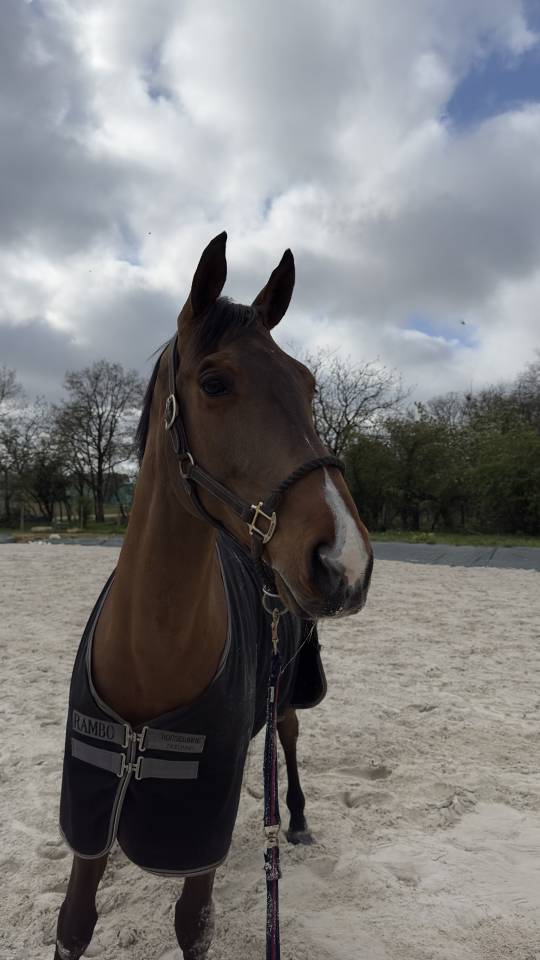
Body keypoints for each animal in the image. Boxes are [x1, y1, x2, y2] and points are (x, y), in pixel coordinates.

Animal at [53, 232, 373, 960]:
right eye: (216, 382)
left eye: (309, 386)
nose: (344, 559)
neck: (148, 654)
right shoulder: (89, 814)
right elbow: (74, 923)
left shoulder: (199, 830)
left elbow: (193, 926)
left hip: (286, 688)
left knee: (286, 740)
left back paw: (296, 819)